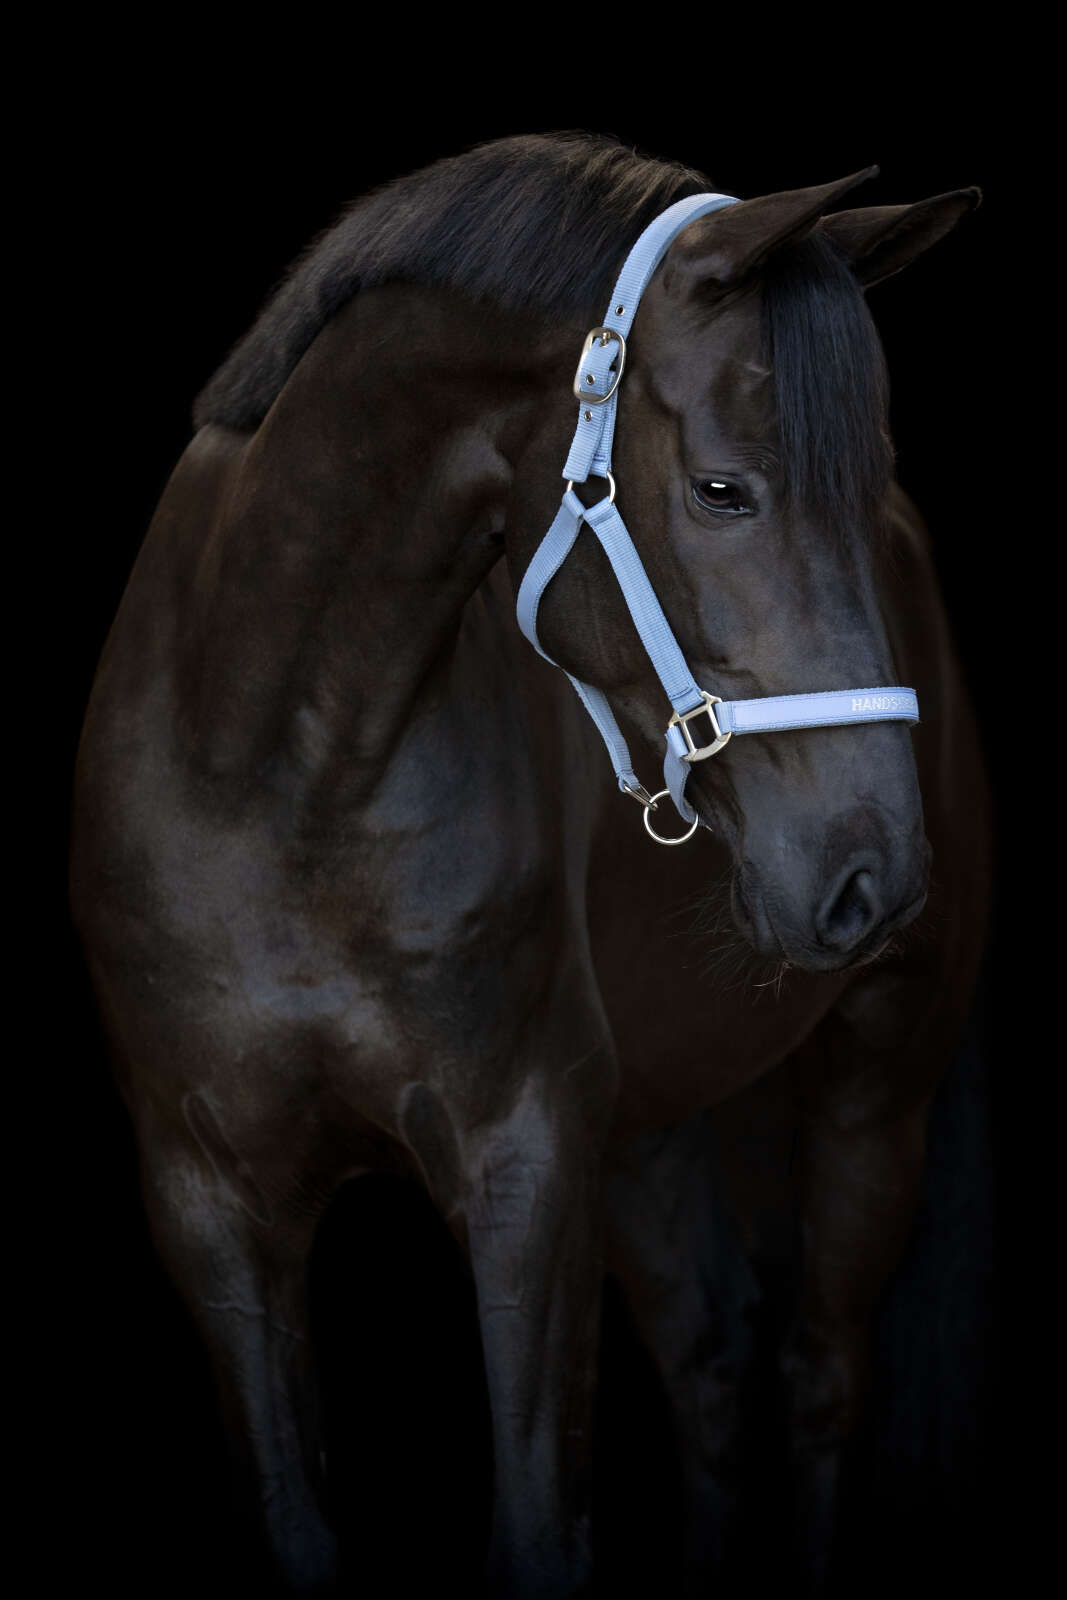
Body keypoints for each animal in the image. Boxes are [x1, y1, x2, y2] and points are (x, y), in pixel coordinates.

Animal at [70, 132, 991, 1595]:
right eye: (723, 487)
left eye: (868, 482)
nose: (872, 877)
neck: (272, 776)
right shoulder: (208, 1200)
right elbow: (295, 1522)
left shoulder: (527, 1166)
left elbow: (538, 1526)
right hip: (650, 1129)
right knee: (712, 1370)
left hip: (871, 1090)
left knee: (816, 1382)